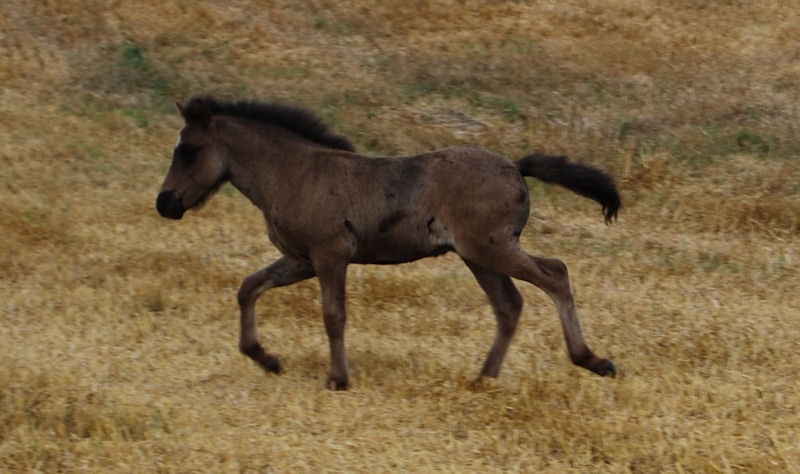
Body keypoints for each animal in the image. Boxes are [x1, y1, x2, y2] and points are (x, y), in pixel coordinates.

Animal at [155, 96, 620, 388]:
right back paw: (483, 379)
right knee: (509, 305)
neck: (294, 173)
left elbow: (333, 315)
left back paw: (593, 361)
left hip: (492, 248)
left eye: (189, 150)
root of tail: (516, 167)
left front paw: (338, 379)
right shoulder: (300, 259)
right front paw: (265, 358)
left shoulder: (329, 254)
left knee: (555, 273)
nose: (165, 203)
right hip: (479, 255)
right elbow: (249, 286)